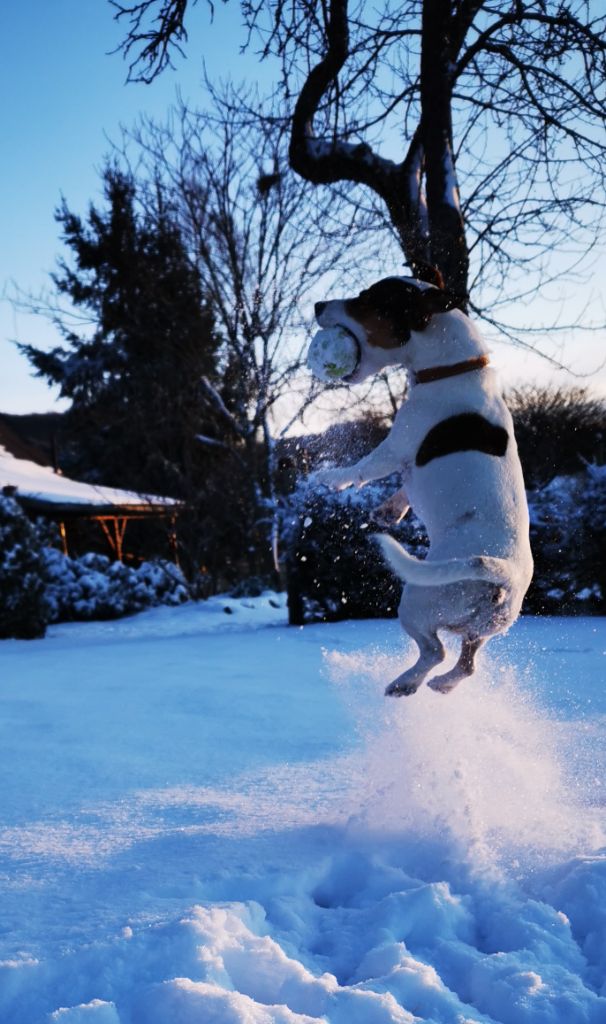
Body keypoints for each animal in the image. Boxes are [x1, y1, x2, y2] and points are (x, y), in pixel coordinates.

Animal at [309, 272, 532, 696]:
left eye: (366, 299)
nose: (316, 305)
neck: (454, 369)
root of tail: (504, 577)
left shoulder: (397, 444)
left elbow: (363, 468)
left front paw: (328, 478)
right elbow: (403, 489)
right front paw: (389, 510)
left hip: (418, 600)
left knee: (435, 651)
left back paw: (404, 683)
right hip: (481, 631)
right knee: (465, 665)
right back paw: (439, 685)